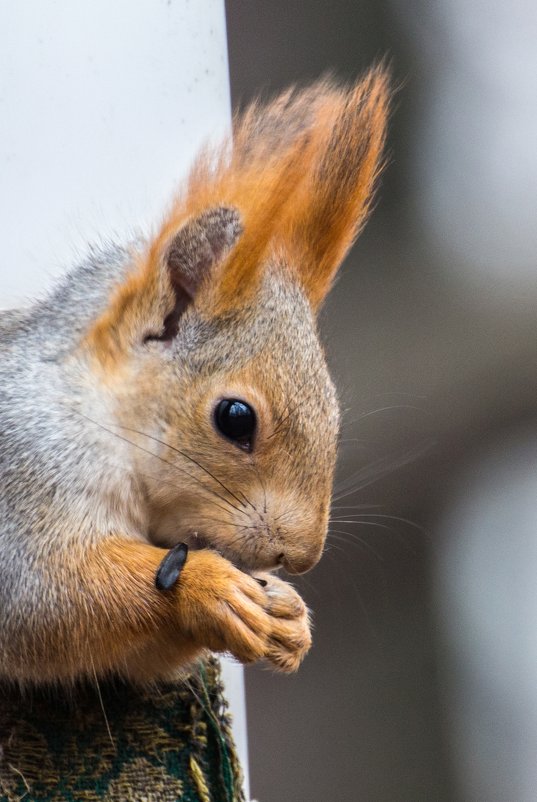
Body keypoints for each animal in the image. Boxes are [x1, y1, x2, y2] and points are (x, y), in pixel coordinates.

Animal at [0, 69, 388, 684]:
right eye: (235, 418)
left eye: (335, 418)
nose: (300, 557)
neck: (99, 413)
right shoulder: (25, 471)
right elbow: (45, 597)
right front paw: (208, 585)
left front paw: (289, 615)